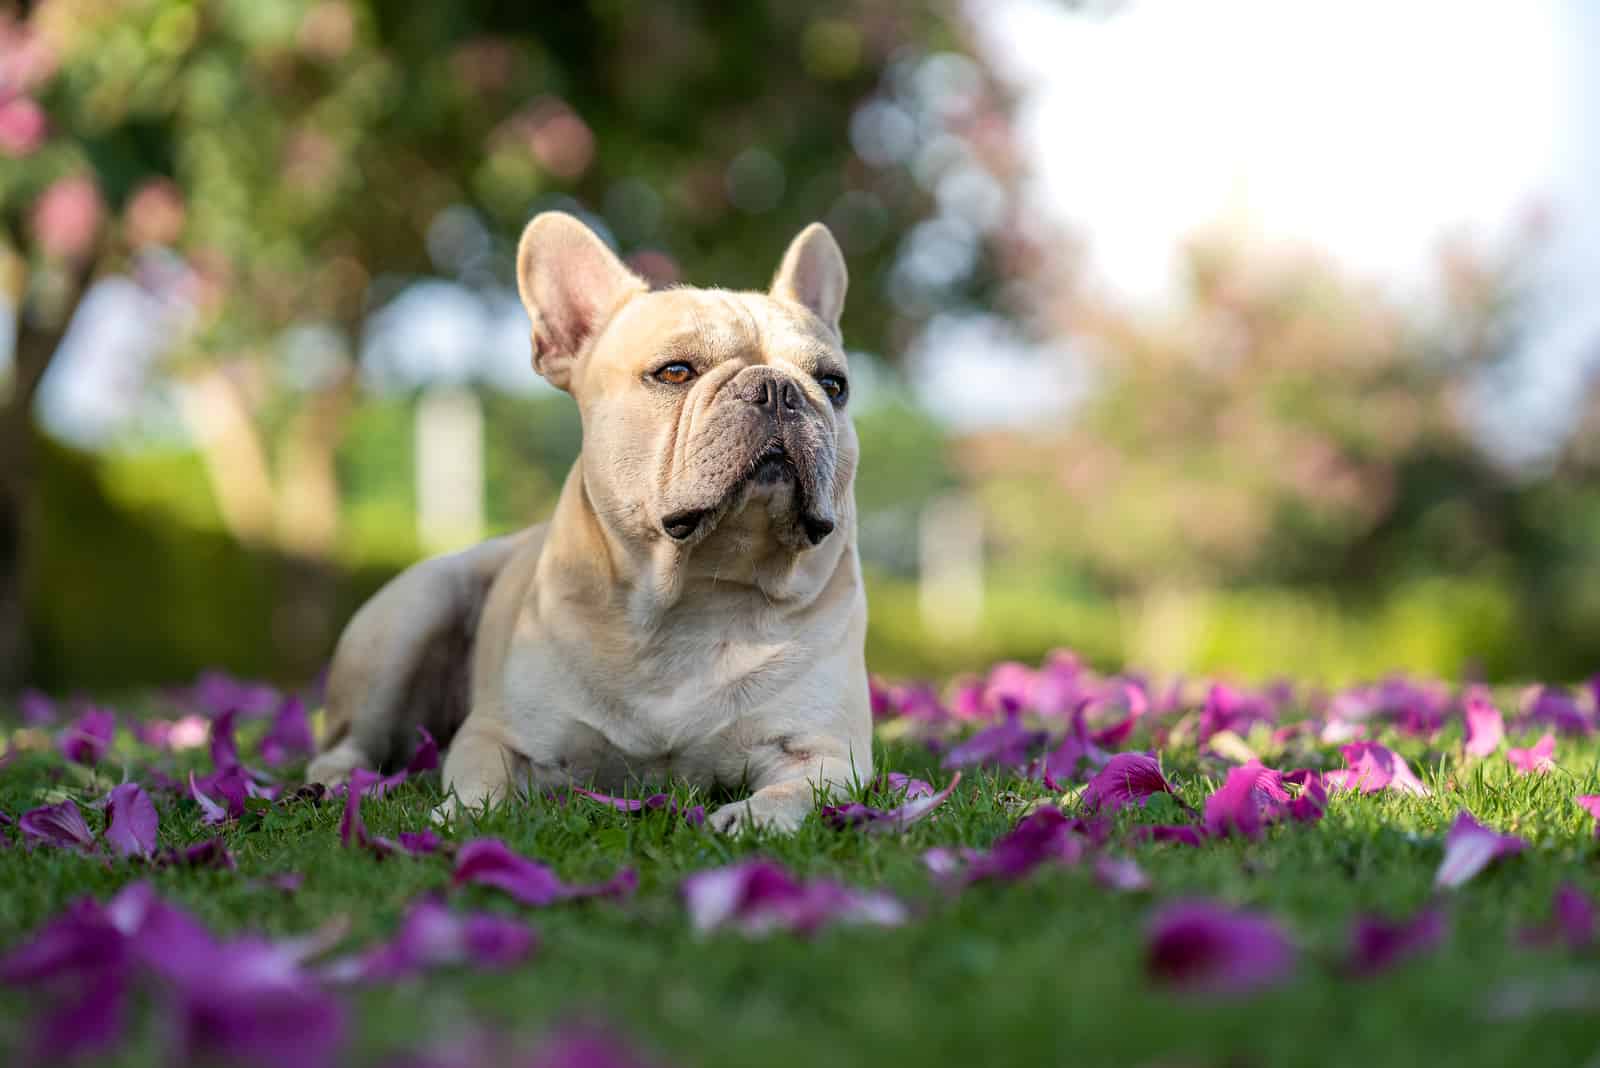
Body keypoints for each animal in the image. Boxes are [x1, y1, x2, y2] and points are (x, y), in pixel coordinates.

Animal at [304, 212, 870, 831]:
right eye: (675, 372)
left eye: (834, 385)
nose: (779, 389)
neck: (698, 594)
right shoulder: (497, 734)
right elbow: (481, 786)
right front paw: (457, 818)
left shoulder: (825, 752)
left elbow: (796, 791)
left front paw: (751, 818)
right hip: (410, 614)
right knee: (345, 743)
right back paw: (337, 784)